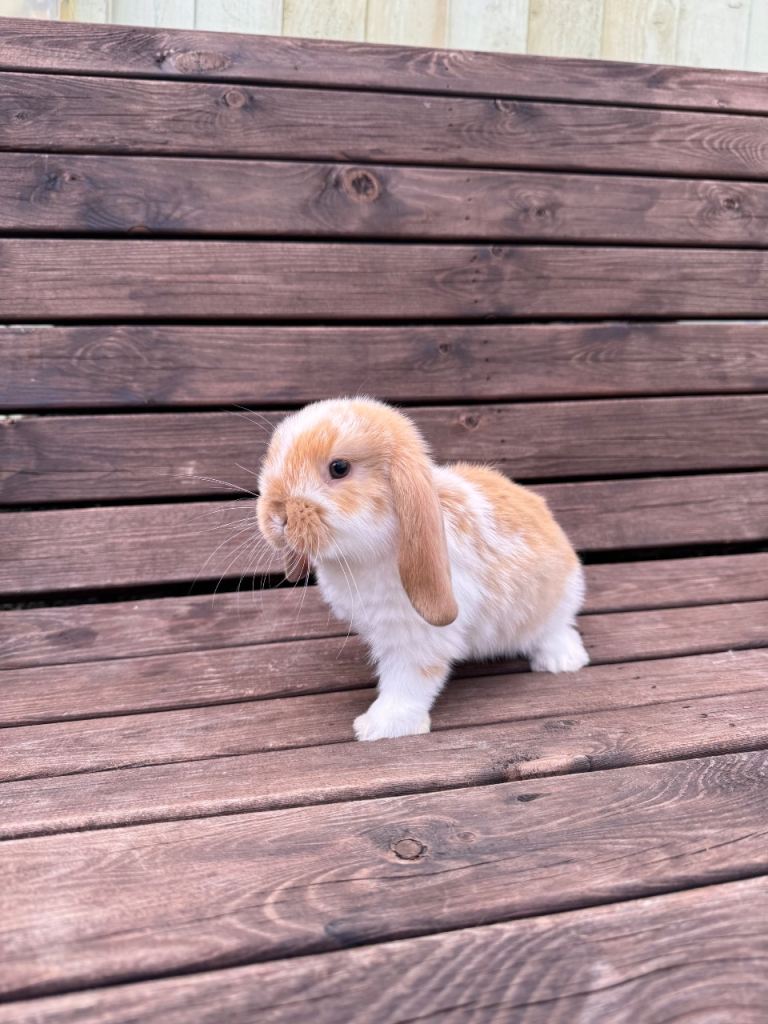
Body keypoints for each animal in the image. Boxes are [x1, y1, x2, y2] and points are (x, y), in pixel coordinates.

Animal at [256, 397, 588, 742]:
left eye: (339, 468)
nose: (276, 515)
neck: (368, 554)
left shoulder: (417, 638)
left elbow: (407, 681)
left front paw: (380, 726)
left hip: (556, 602)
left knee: (556, 628)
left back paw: (560, 660)